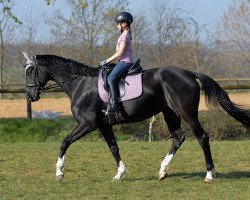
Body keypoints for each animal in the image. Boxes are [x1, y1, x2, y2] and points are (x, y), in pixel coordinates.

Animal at [22, 52, 250, 183]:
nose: (30, 95)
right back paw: (162, 171)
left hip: (187, 113)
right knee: (178, 137)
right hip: (169, 113)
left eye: (30, 70)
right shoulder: (103, 125)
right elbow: (113, 147)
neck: (80, 83)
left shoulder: (87, 124)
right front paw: (120, 174)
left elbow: (64, 143)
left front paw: (59, 173)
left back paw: (209, 174)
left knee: (202, 137)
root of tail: (189, 73)